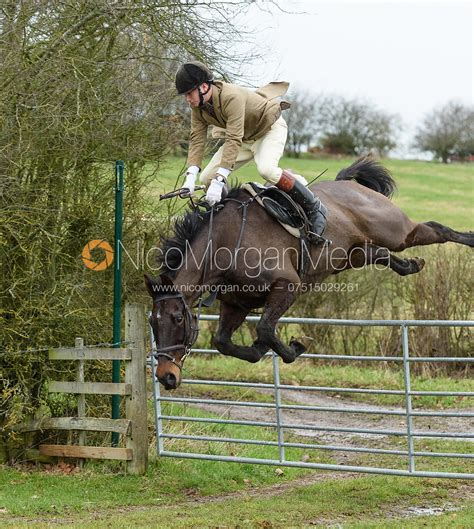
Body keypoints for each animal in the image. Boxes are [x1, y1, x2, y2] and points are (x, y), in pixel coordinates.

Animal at [145, 157, 474, 388]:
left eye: (177, 319)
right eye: (152, 322)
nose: (166, 376)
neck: (225, 245)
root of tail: (352, 185)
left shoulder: (287, 285)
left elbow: (265, 328)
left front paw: (293, 347)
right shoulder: (236, 304)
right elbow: (224, 342)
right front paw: (260, 350)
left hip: (396, 232)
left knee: (434, 230)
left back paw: (468, 239)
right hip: (351, 255)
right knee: (379, 254)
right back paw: (410, 266)